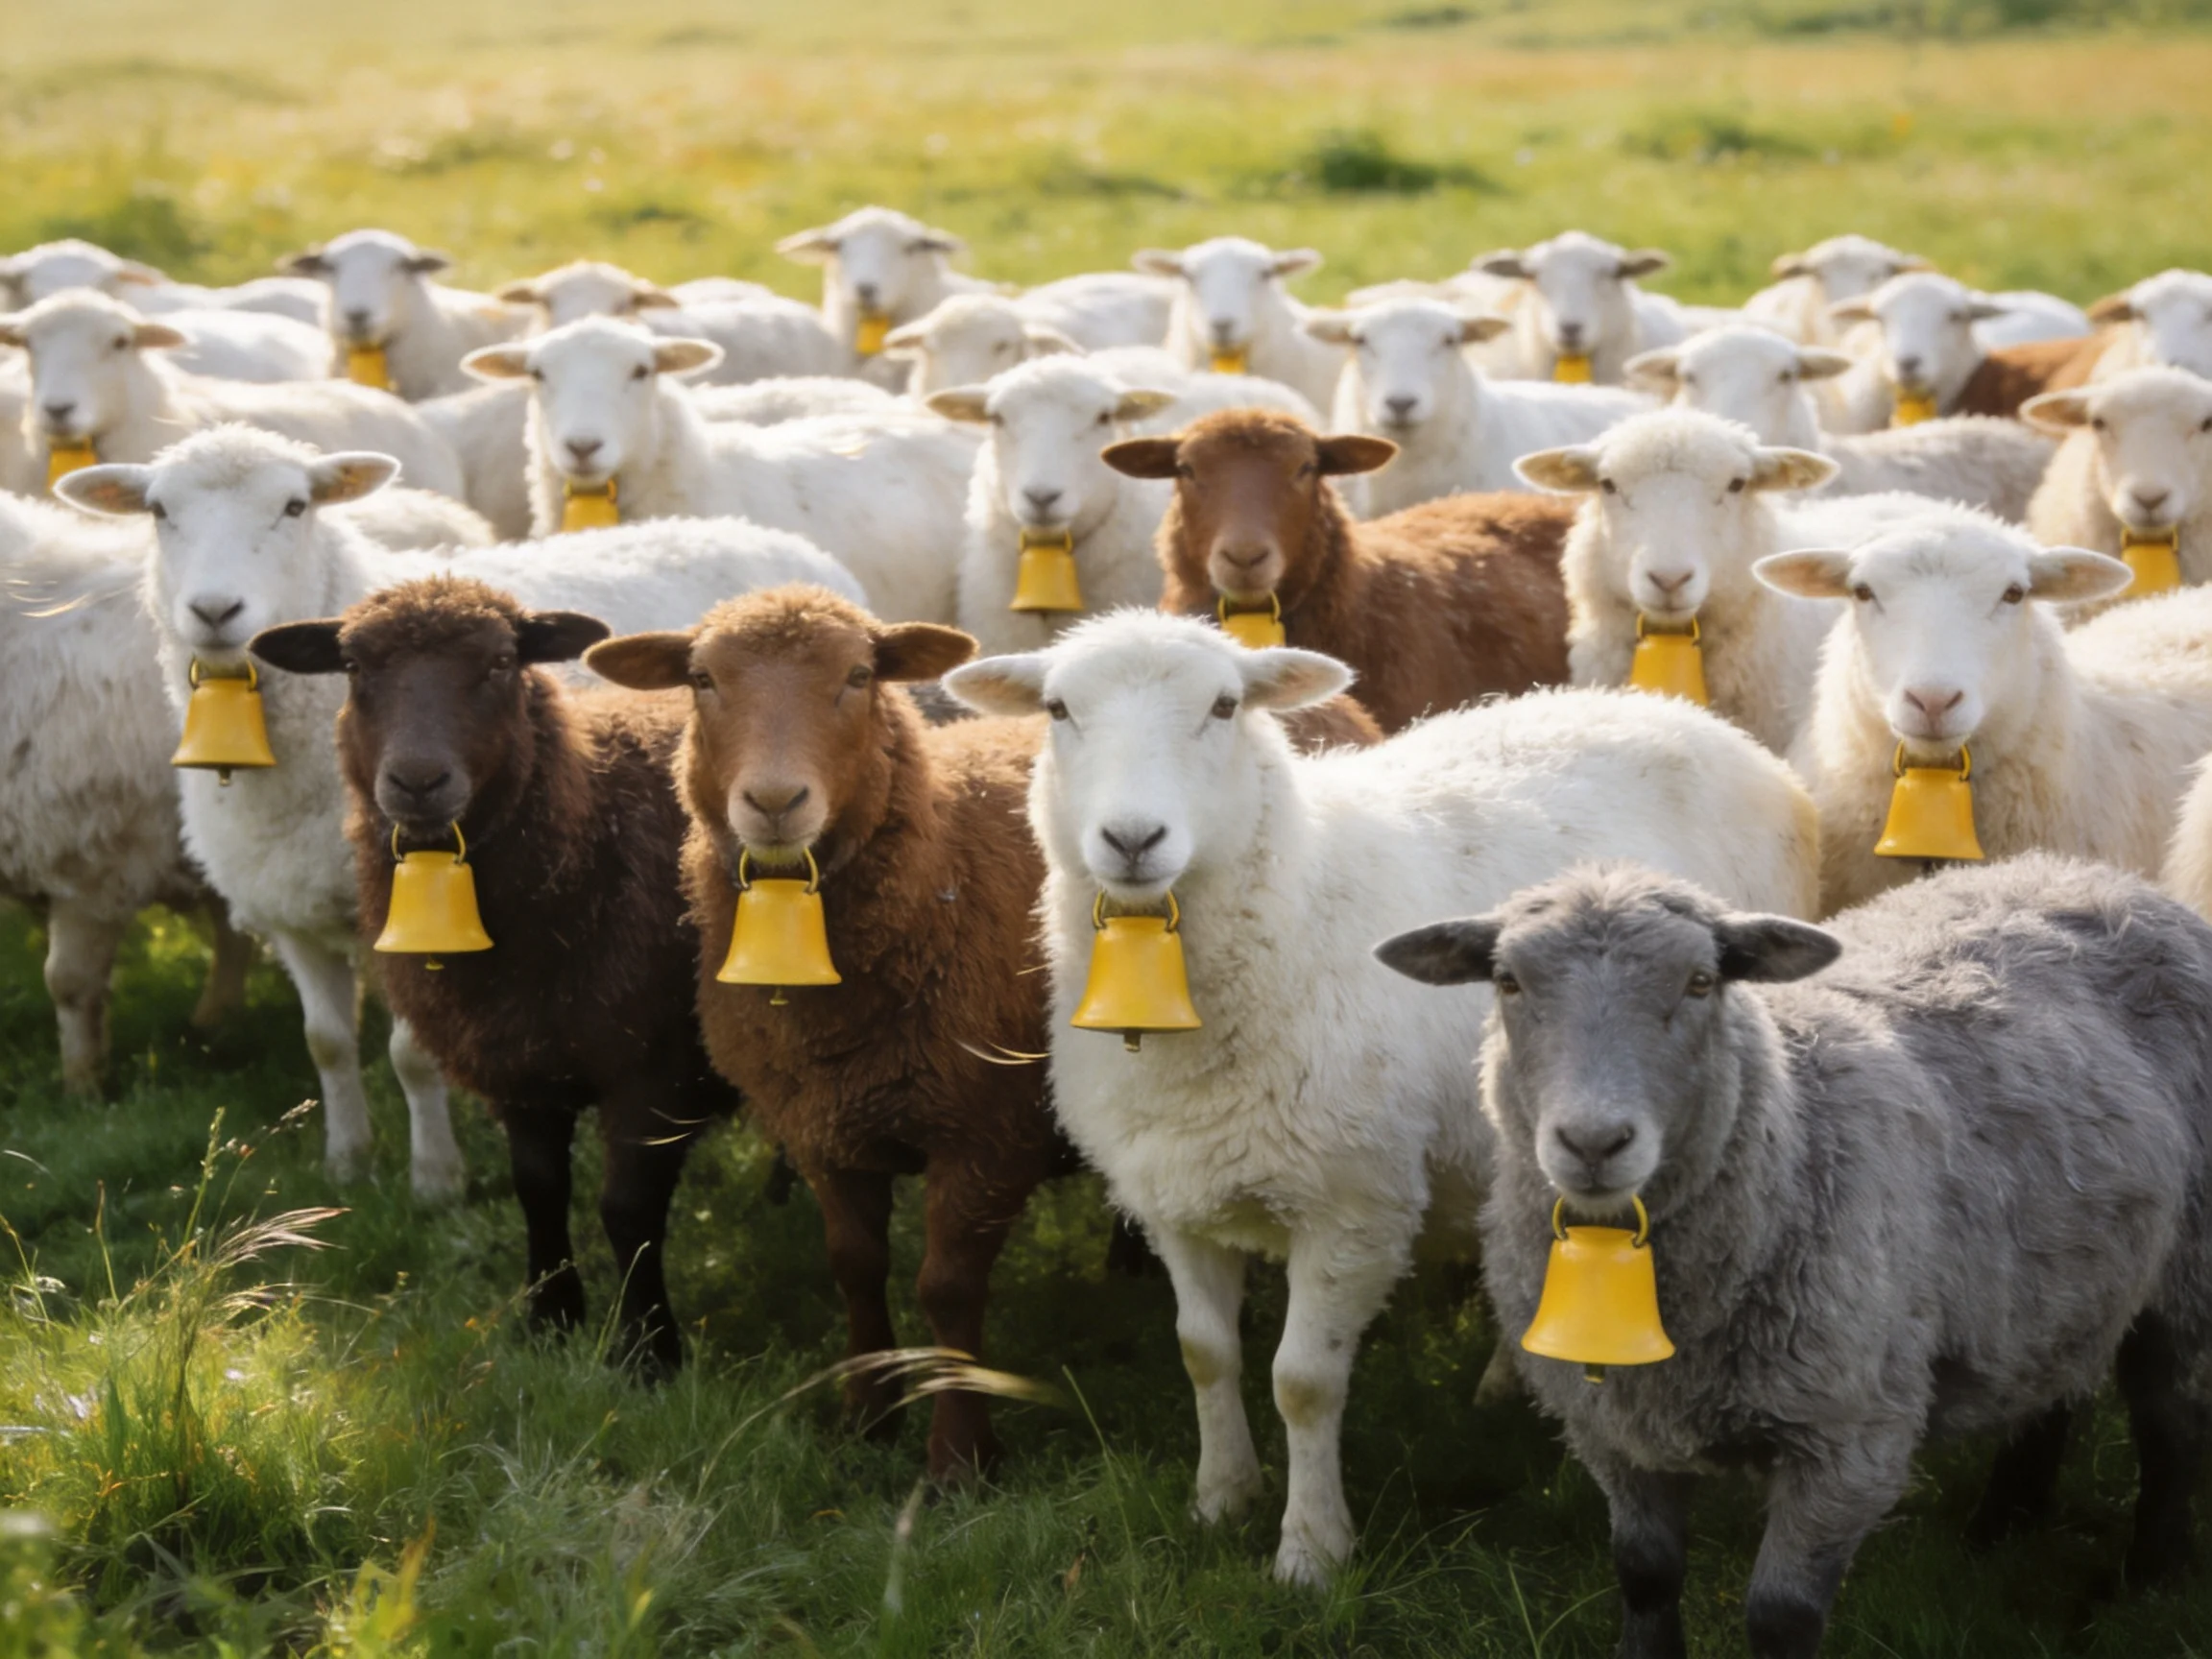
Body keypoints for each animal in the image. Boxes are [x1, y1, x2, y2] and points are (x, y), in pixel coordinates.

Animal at [55, 424, 863, 1199]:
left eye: (295, 506)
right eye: (159, 512)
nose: (215, 611)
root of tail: (769, 546)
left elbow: (412, 1054)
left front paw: (436, 1178)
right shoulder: (289, 912)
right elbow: (327, 1043)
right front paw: (348, 1161)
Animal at [248, 577, 744, 1375]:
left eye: (502, 662)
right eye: (352, 666)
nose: (417, 781)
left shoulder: (656, 1070)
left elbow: (626, 1210)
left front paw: (648, 1353)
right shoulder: (518, 1060)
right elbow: (537, 1189)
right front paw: (551, 1321)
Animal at [583, 585, 1076, 1475]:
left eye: (858, 676)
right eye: (702, 679)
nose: (776, 803)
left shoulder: (987, 1134)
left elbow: (947, 1288)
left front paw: (959, 1458)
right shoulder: (822, 1125)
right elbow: (854, 1266)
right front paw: (867, 1416)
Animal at [941, 613, 1820, 1585]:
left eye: (1224, 706)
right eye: (1059, 709)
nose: (1133, 839)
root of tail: (1684, 715)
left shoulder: (1355, 1203)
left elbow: (1302, 1381)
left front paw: (1311, 1551)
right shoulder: (1172, 1191)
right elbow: (1204, 1354)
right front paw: (1222, 1500)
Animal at [1377, 855, 2212, 1655]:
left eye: (1702, 981)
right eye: (1508, 981)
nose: (1593, 1142)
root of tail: (2098, 874)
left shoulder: (1849, 1437)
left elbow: (1781, 1617)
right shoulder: (1610, 1430)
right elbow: (1645, 1577)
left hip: (2187, 1270)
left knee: (2170, 1421)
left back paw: (2150, 1582)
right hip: (2058, 1273)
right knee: (2050, 1386)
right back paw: (2001, 1526)